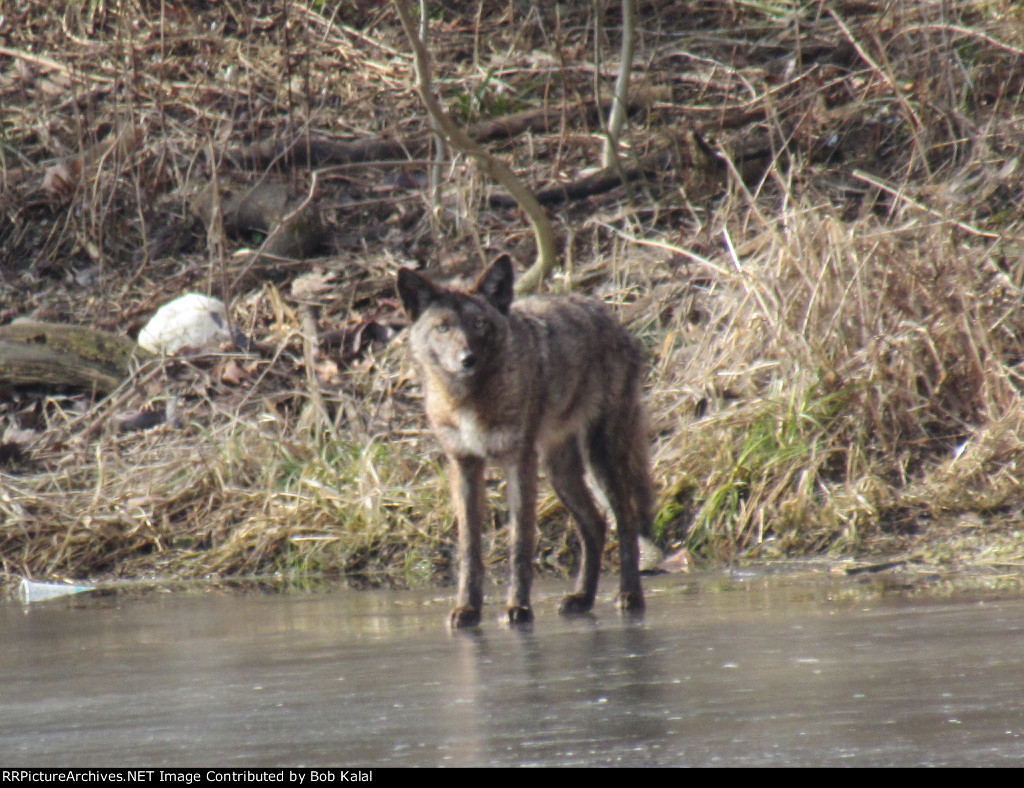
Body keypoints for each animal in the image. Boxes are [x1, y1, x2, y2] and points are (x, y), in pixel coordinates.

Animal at [397, 255, 652, 628]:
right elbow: (469, 548)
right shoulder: (465, 465)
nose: (467, 359)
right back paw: (582, 597)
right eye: (443, 327)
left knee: (626, 520)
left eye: (480, 324)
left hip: (599, 457)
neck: (468, 401)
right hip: (559, 470)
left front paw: (518, 607)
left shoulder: (519, 461)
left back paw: (630, 595)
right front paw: (467, 608)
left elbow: (520, 543)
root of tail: (610, 316)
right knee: (594, 524)